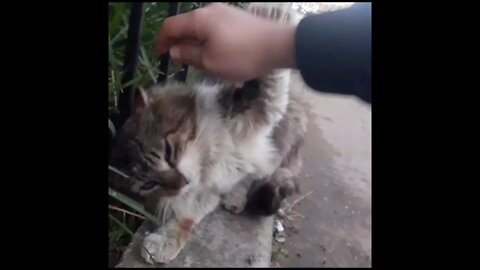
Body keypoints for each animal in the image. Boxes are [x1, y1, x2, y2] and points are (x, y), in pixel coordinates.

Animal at [108, 1, 306, 264]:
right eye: (149, 184)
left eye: (168, 152)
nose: (181, 182)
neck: (207, 165)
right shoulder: (202, 192)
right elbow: (187, 216)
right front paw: (165, 242)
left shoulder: (254, 112)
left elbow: (265, 83)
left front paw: (269, 15)